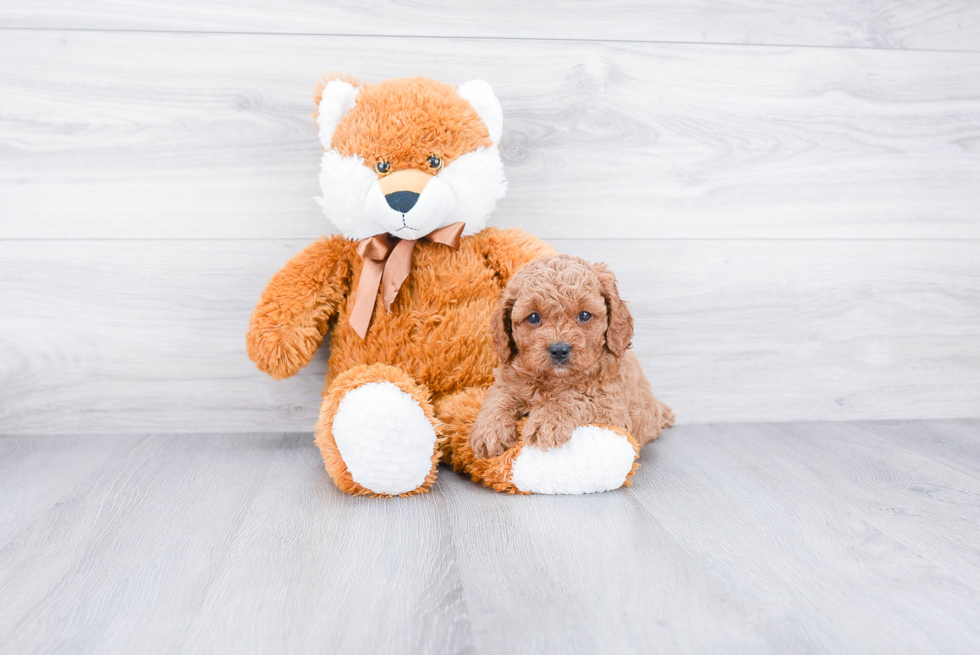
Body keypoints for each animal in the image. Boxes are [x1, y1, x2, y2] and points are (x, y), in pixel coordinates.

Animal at [468, 254, 672, 458]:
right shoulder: (508, 379)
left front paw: (546, 422)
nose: (559, 350)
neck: (555, 380)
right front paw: (489, 431)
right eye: (533, 317)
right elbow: (498, 396)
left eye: (584, 315)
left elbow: (575, 397)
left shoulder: (613, 410)